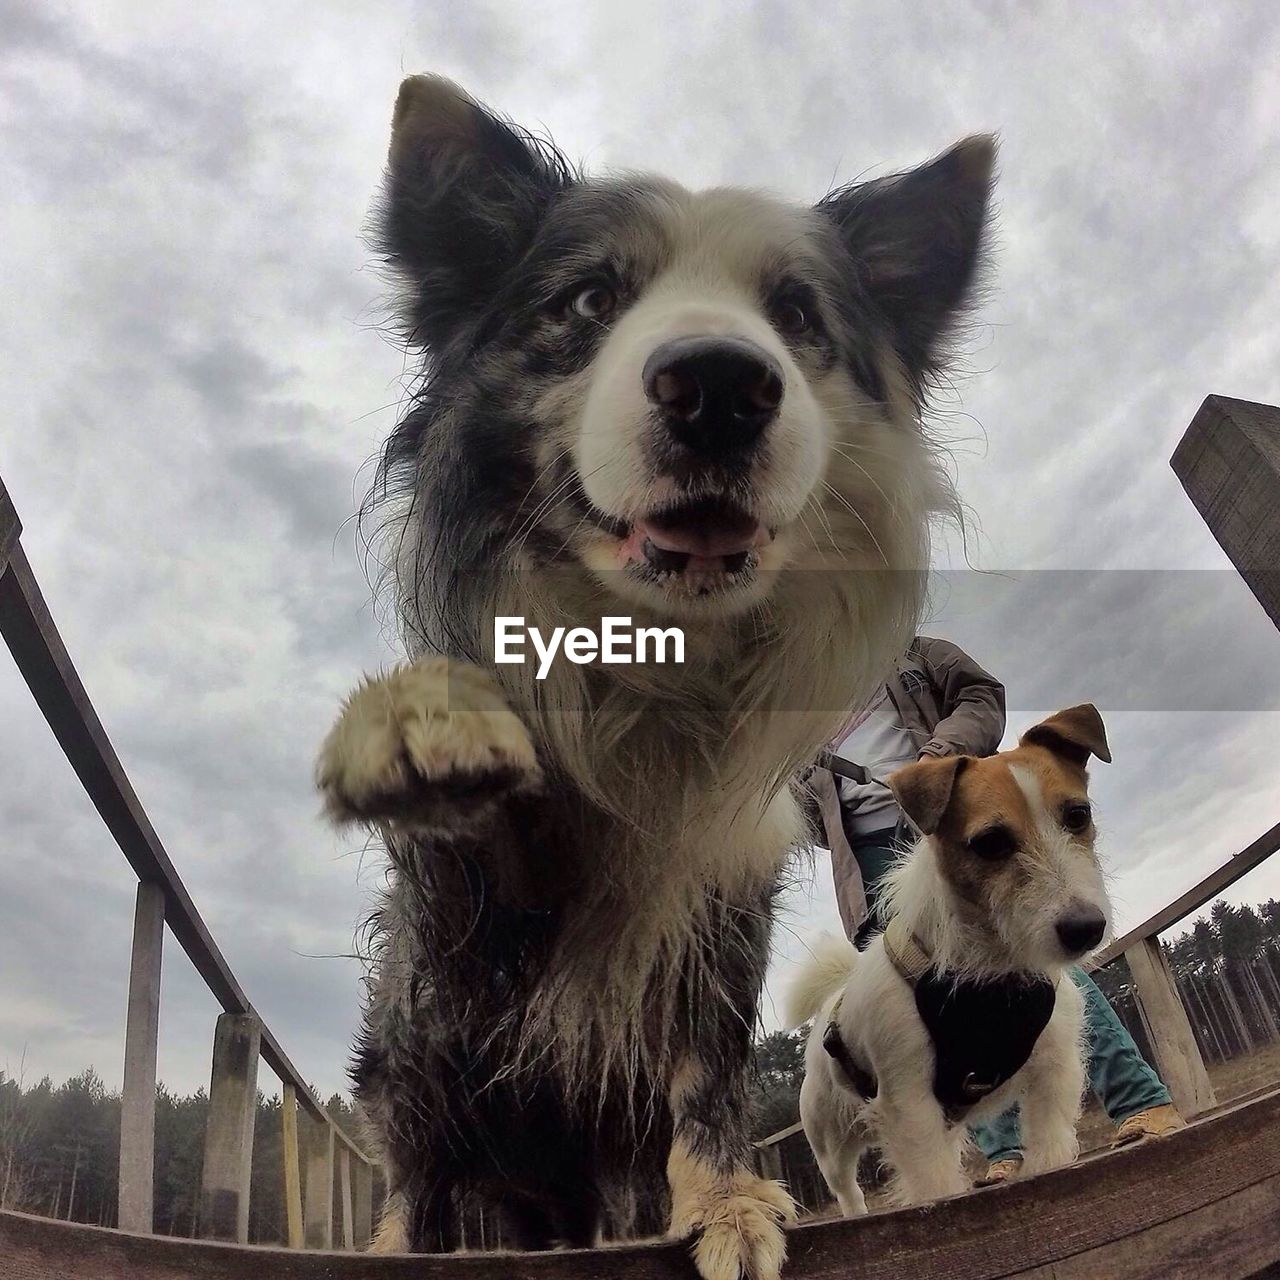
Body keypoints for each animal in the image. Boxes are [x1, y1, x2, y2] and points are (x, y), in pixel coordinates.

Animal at [314, 77, 993, 1280]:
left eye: (797, 314)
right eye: (590, 299)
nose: (718, 385)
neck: (656, 661)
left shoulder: (721, 907)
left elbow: (702, 1074)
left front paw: (723, 1202)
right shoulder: (459, 953)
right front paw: (412, 718)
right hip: (409, 1070)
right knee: (420, 1173)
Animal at [778, 706, 1111, 1213]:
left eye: (1078, 815)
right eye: (990, 842)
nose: (1085, 928)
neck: (991, 974)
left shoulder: (1054, 1075)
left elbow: (1050, 1151)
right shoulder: (911, 1108)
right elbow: (935, 1187)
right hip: (830, 1141)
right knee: (847, 1189)